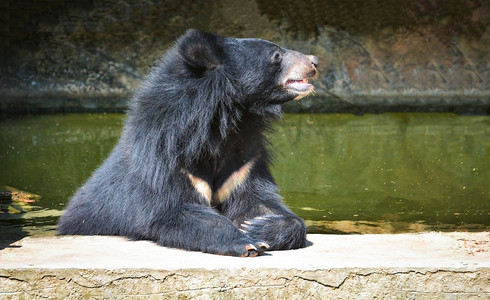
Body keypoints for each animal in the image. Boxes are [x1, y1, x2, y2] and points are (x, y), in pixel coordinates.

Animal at [58, 29, 318, 256]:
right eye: (276, 55)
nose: (314, 61)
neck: (224, 125)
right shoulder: (166, 157)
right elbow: (168, 211)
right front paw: (245, 242)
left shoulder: (243, 162)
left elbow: (257, 200)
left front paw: (260, 226)